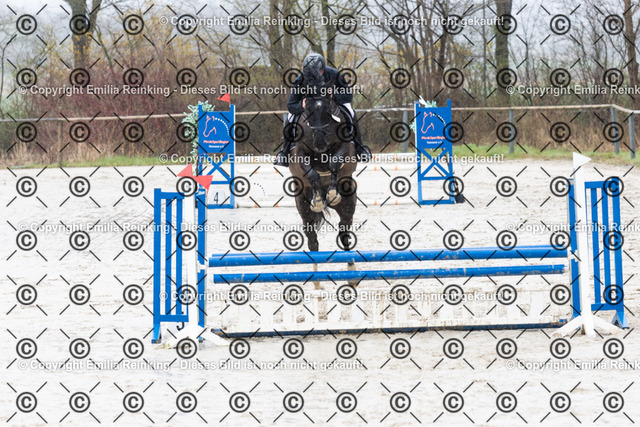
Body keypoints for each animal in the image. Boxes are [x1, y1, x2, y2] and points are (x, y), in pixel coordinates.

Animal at [287, 80, 358, 255]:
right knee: (311, 234)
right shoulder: (300, 152)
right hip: (303, 204)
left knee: (344, 228)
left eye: (329, 110)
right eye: (308, 111)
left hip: (348, 202)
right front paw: (318, 199)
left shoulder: (344, 147)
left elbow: (334, 163)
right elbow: (313, 174)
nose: (320, 143)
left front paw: (332, 193)